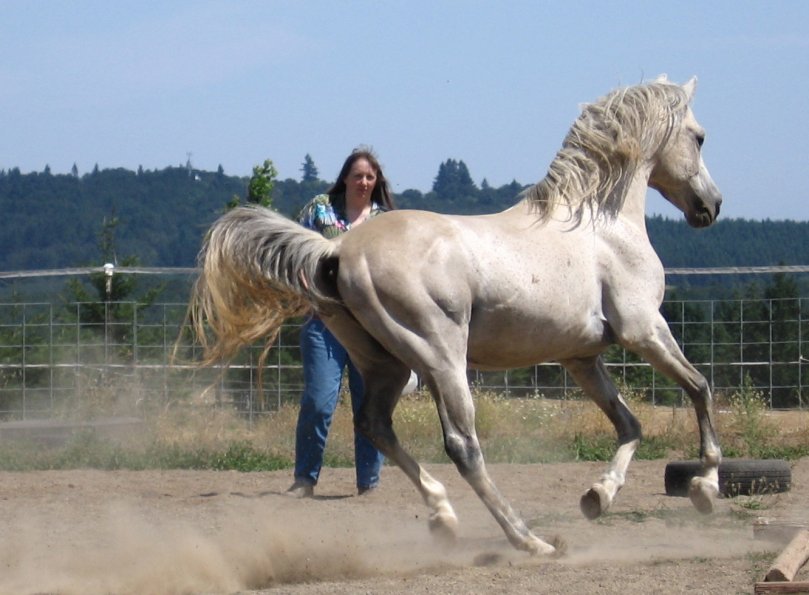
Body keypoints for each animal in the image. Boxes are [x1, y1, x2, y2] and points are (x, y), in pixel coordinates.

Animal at [189, 75, 723, 556]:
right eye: (699, 136)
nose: (711, 206)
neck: (599, 223)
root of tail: (338, 250)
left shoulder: (580, 357)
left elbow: (629, 424)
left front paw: (598, 496)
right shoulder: (643, 330)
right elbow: (699, 388)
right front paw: (705, 488)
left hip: (384, 364)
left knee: (374, 425)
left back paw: (444, 516)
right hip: (442, 357)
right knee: (462, 445)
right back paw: (528, 539)